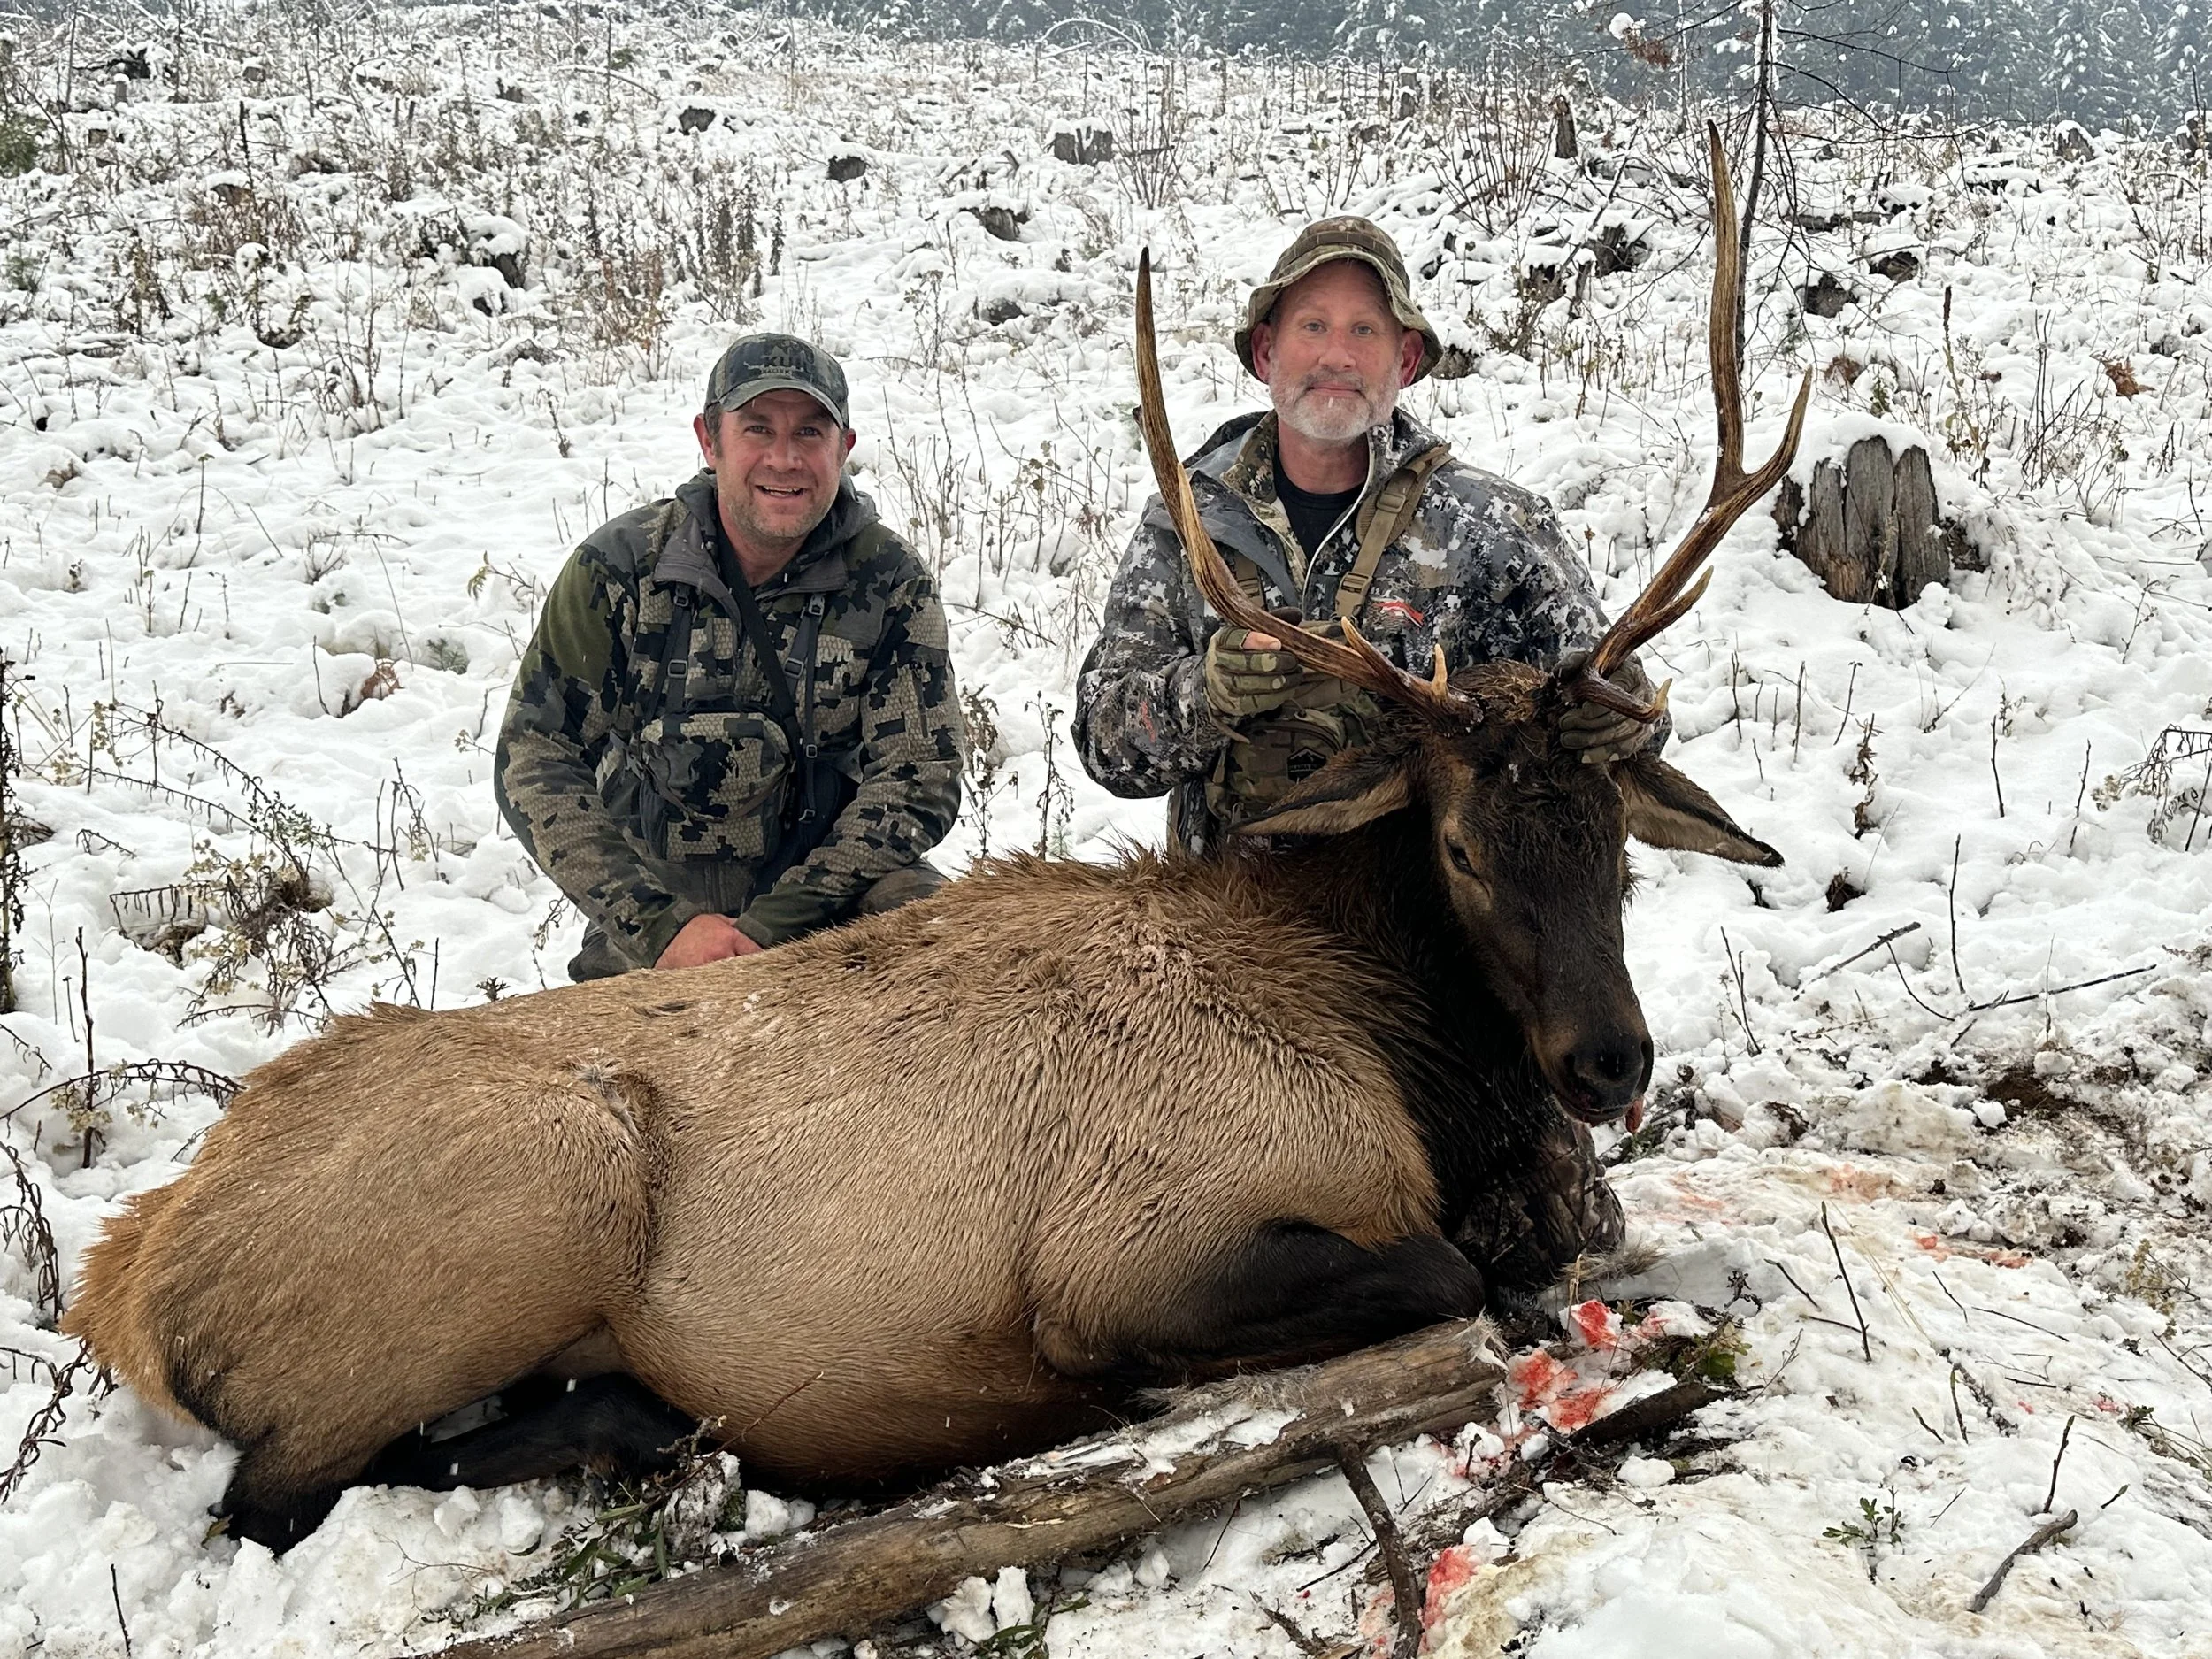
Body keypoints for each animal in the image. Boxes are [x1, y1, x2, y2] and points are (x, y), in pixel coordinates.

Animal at [61, 126, 1808, 1554]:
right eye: (1455, 843)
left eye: (1617, 834)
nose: (1607, 1059)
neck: (1398, 1059)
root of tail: (129, 1279)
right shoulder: (1134, 1243)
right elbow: (1443, 1273)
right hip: (538, 1201)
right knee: (274, 1491)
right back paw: (649, 1426)